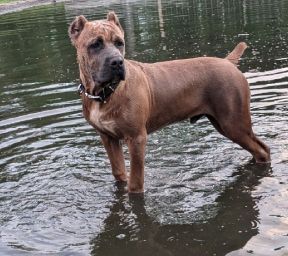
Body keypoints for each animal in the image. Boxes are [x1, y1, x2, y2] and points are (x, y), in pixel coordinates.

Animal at [68, 11, 272, 192]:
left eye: (120, 43)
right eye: (95, 44)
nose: (118, 62)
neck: (104, 94)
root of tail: (227, 62)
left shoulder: (136, 138)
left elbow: (135, 184)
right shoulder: (108, 138)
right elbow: (119, 172)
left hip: (234, 124)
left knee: (262, 150)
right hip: (223, 123)